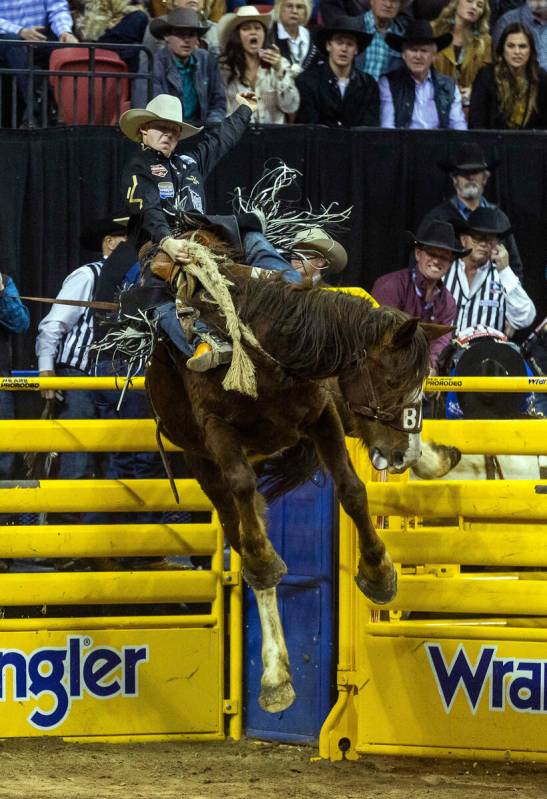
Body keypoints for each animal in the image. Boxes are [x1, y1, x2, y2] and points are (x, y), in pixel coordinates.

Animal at [146, 236, 450, 712]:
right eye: (391, 378)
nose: (402, 452)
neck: (267, 352)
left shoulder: (322, 415)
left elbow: (352, 490)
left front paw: (380, 574)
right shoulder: (215, 433)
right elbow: (246, 508)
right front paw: (266, 563)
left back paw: (434, 458)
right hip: (203, 461)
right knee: (240, 527)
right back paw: (275, 675)